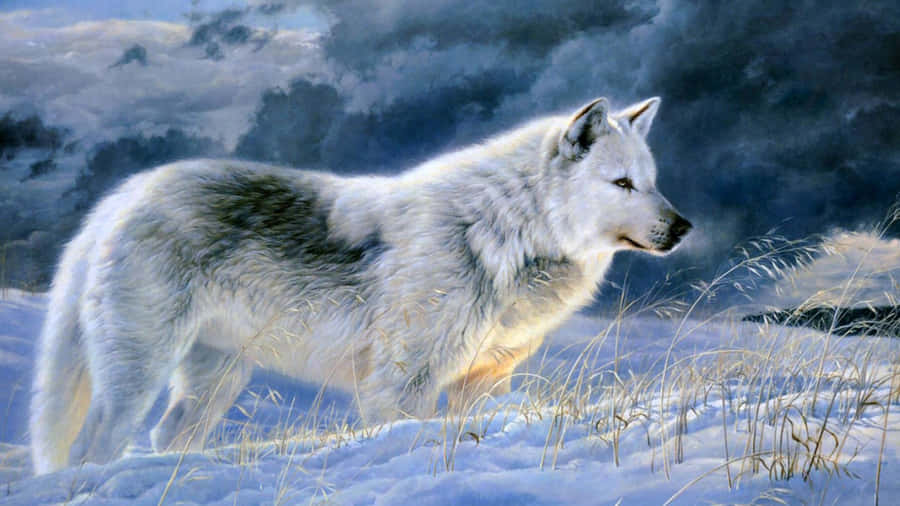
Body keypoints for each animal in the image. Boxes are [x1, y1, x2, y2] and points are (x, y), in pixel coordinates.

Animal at [30, 96, 691, 474]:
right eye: (622, 184)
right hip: (138, 374)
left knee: (168, 437)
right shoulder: (400, 386)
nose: (684, 227)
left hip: (214, 381)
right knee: (93, 448)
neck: (505, 233)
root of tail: (123, 195)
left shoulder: (483, 382)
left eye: (653, 181)